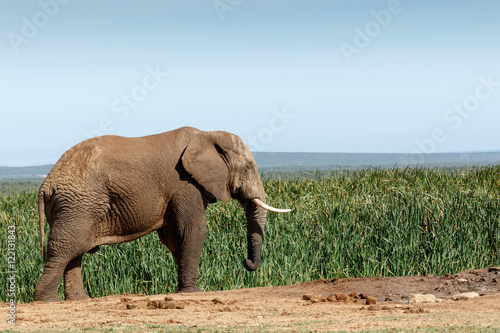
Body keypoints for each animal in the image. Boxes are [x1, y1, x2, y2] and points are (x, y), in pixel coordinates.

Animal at [34, 126, 290, 300]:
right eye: (247, 168)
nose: (246, 262)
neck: (207, 134)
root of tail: (46, 184)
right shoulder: (185, 183)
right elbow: (194, 228)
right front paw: (193, 291)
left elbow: (173, 236)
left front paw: (183, 289)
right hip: (77, 205)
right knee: (64, 249)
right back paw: (47, 301)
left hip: (75, 207)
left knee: (75, 251)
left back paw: (81, 300)